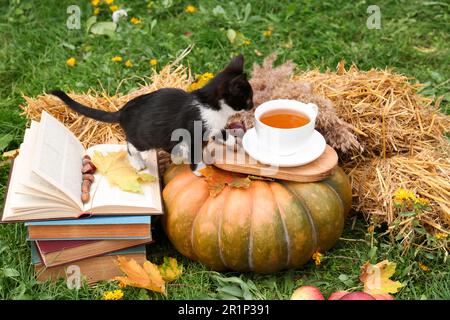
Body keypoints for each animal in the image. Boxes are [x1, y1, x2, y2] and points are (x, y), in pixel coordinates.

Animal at [50, 54, 253, 170]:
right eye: (248, 98)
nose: (252, 106)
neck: (211, 105)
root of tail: (122, 111)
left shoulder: (213, 127)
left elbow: (224, 135)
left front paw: (235, 143)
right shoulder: (194, 131)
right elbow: (195, 154)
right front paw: (200, 170)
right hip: (145, 138)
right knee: (131, 145)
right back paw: (138, 163)